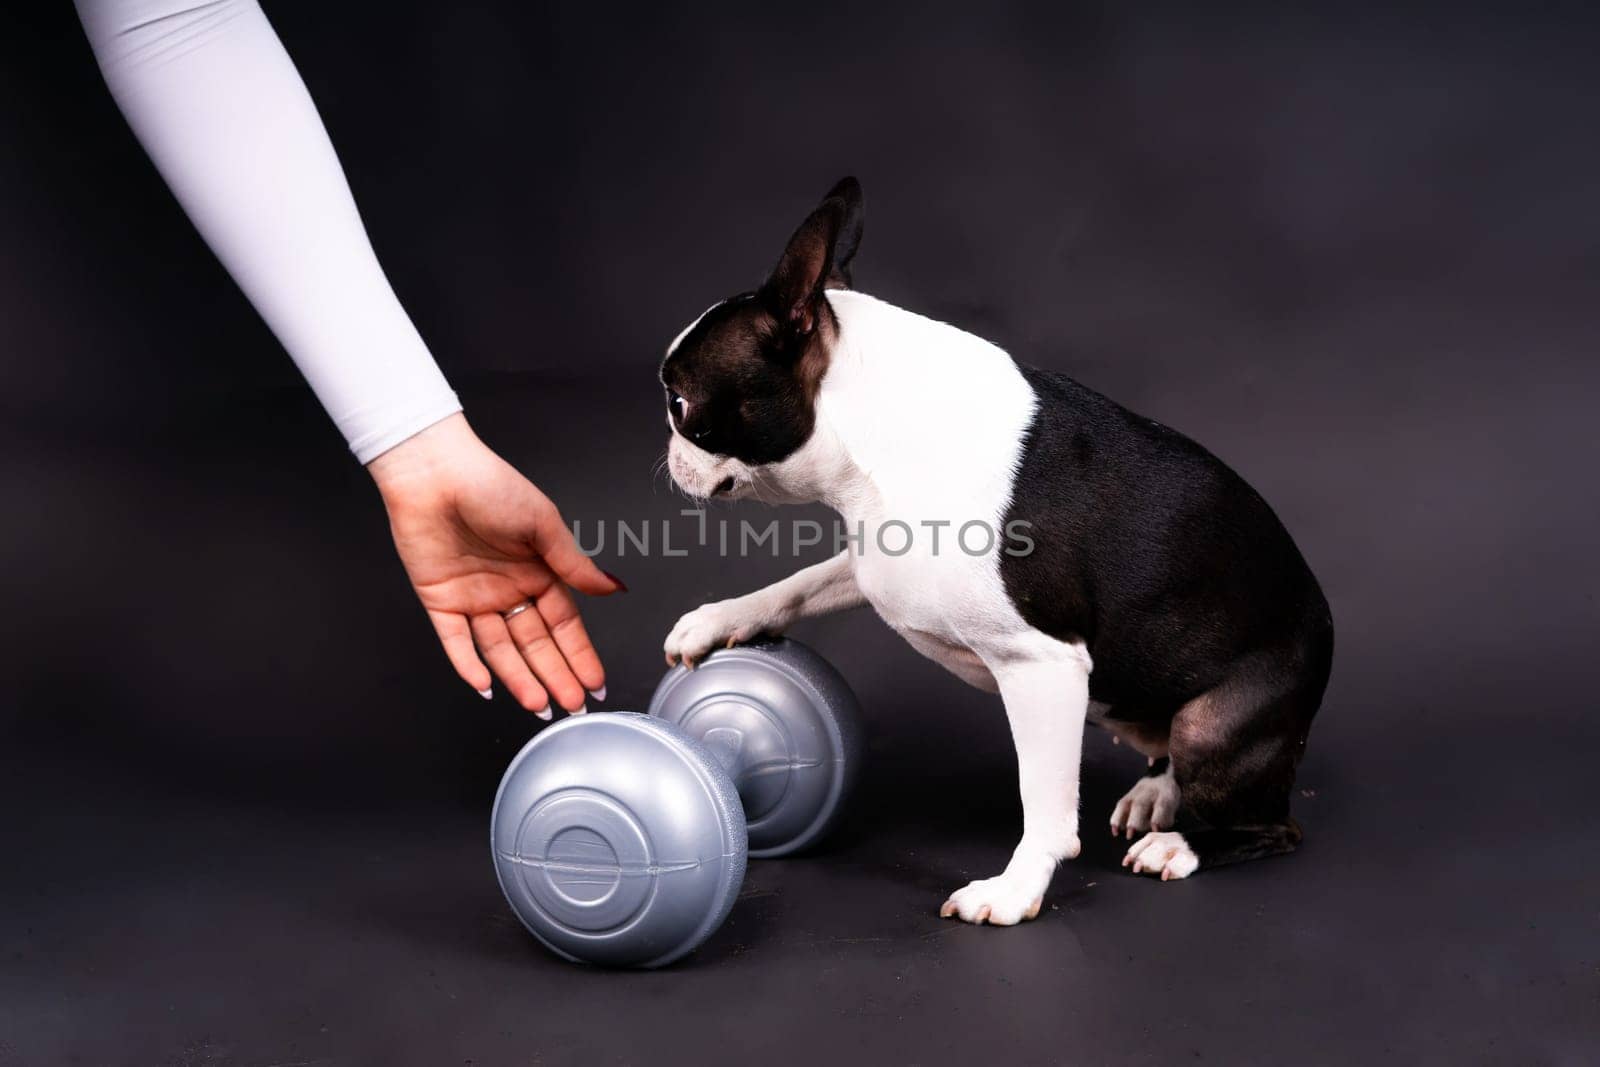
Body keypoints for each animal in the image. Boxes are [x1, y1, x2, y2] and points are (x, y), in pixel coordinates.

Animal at [656, 179, 1331, 921]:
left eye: (680, 403)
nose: (668, 456)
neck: (874, 427)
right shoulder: (878, 557)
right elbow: (802, 581)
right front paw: (720, 618)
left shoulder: (1042, 664)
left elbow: (1044, 804)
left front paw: (1015, 889)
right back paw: (1157, 793)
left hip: (1215, 726)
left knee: (1272, 825)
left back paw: (1181, 845)